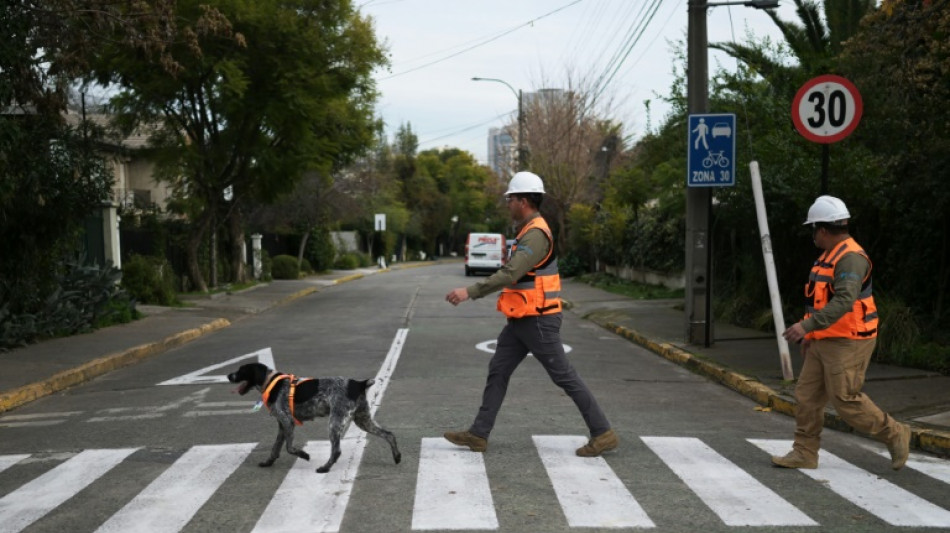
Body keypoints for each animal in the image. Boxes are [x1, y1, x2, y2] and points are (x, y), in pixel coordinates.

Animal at [230, 362, 402, 474]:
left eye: (241, 370)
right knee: (389, 434)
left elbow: (289, 447)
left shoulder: (288, 421)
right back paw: (397, 456)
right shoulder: (282, 425)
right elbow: (275, 448)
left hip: (335, 423)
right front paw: (268, 462)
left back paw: (325, 468)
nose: (228, 375)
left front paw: (304, 455)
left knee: (337, 450)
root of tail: (359, 383)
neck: (271, 382)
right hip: (363, 420)